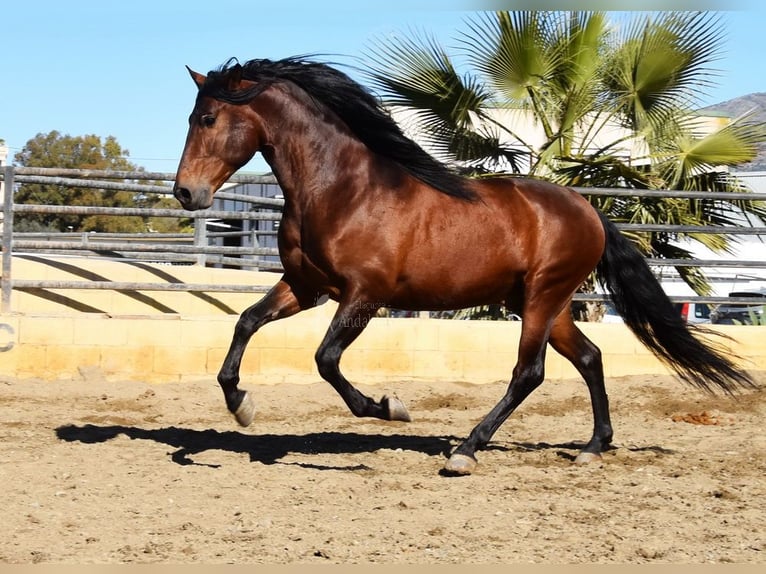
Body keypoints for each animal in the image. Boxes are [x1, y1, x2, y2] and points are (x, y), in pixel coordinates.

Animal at [172, 56, 756, 476]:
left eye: (207, 118)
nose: (185, 193)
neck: (342, 190)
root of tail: (588, 210)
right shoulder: (304, 285)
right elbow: (246, 323)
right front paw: (241, 406)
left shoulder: (364, 295)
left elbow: (326, 360)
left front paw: (391, 407)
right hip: (547, 303)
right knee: (589, 357)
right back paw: (593, 447)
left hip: (543, 297)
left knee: (529, 373)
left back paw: (466, 451)